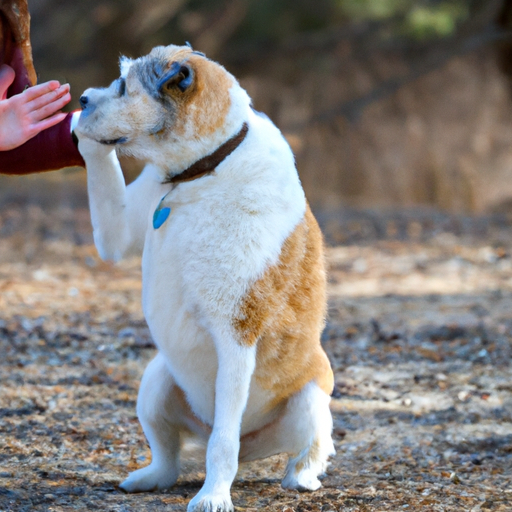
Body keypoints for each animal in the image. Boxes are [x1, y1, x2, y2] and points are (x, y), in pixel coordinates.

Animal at [74, 43, 334, 512]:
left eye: (124, 86)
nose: (83, 99)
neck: (204, 171)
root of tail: (254, 451)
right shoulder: (116, 234)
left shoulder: (235, 338)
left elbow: (222, 444)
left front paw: (213, 496)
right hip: (155, 382)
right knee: (167, 455)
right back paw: (150, 476)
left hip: (310, 401)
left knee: (303, 444)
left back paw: (302, 476)